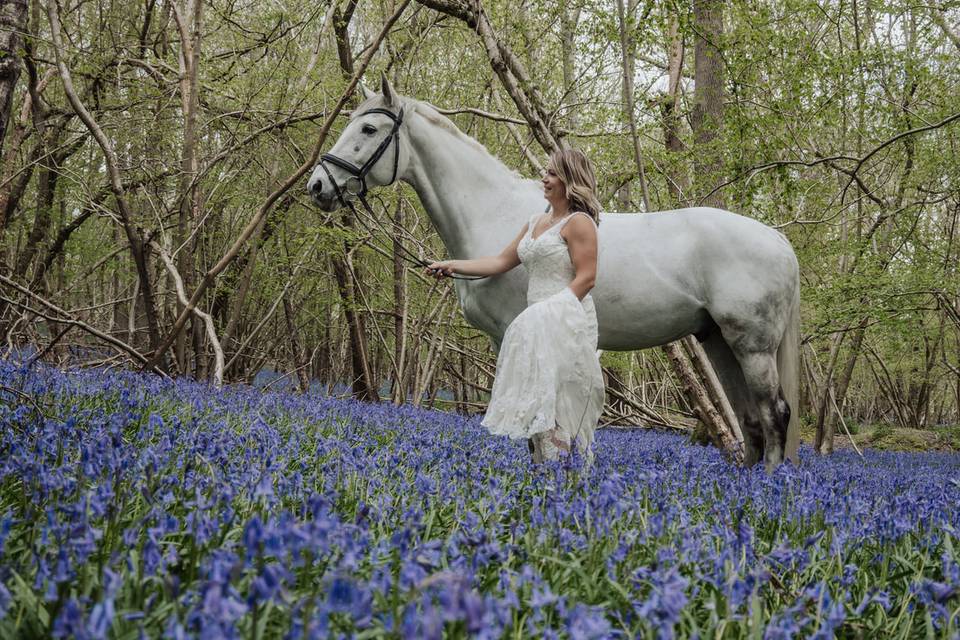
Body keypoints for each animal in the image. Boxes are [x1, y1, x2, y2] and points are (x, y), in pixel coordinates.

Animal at [310, 79, 804, 470]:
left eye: (368, 129)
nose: (318, 186)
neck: (493, 211)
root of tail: (777, 240)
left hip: (752, 346)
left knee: (774, 415)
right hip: (718, 341)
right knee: (750, 418)